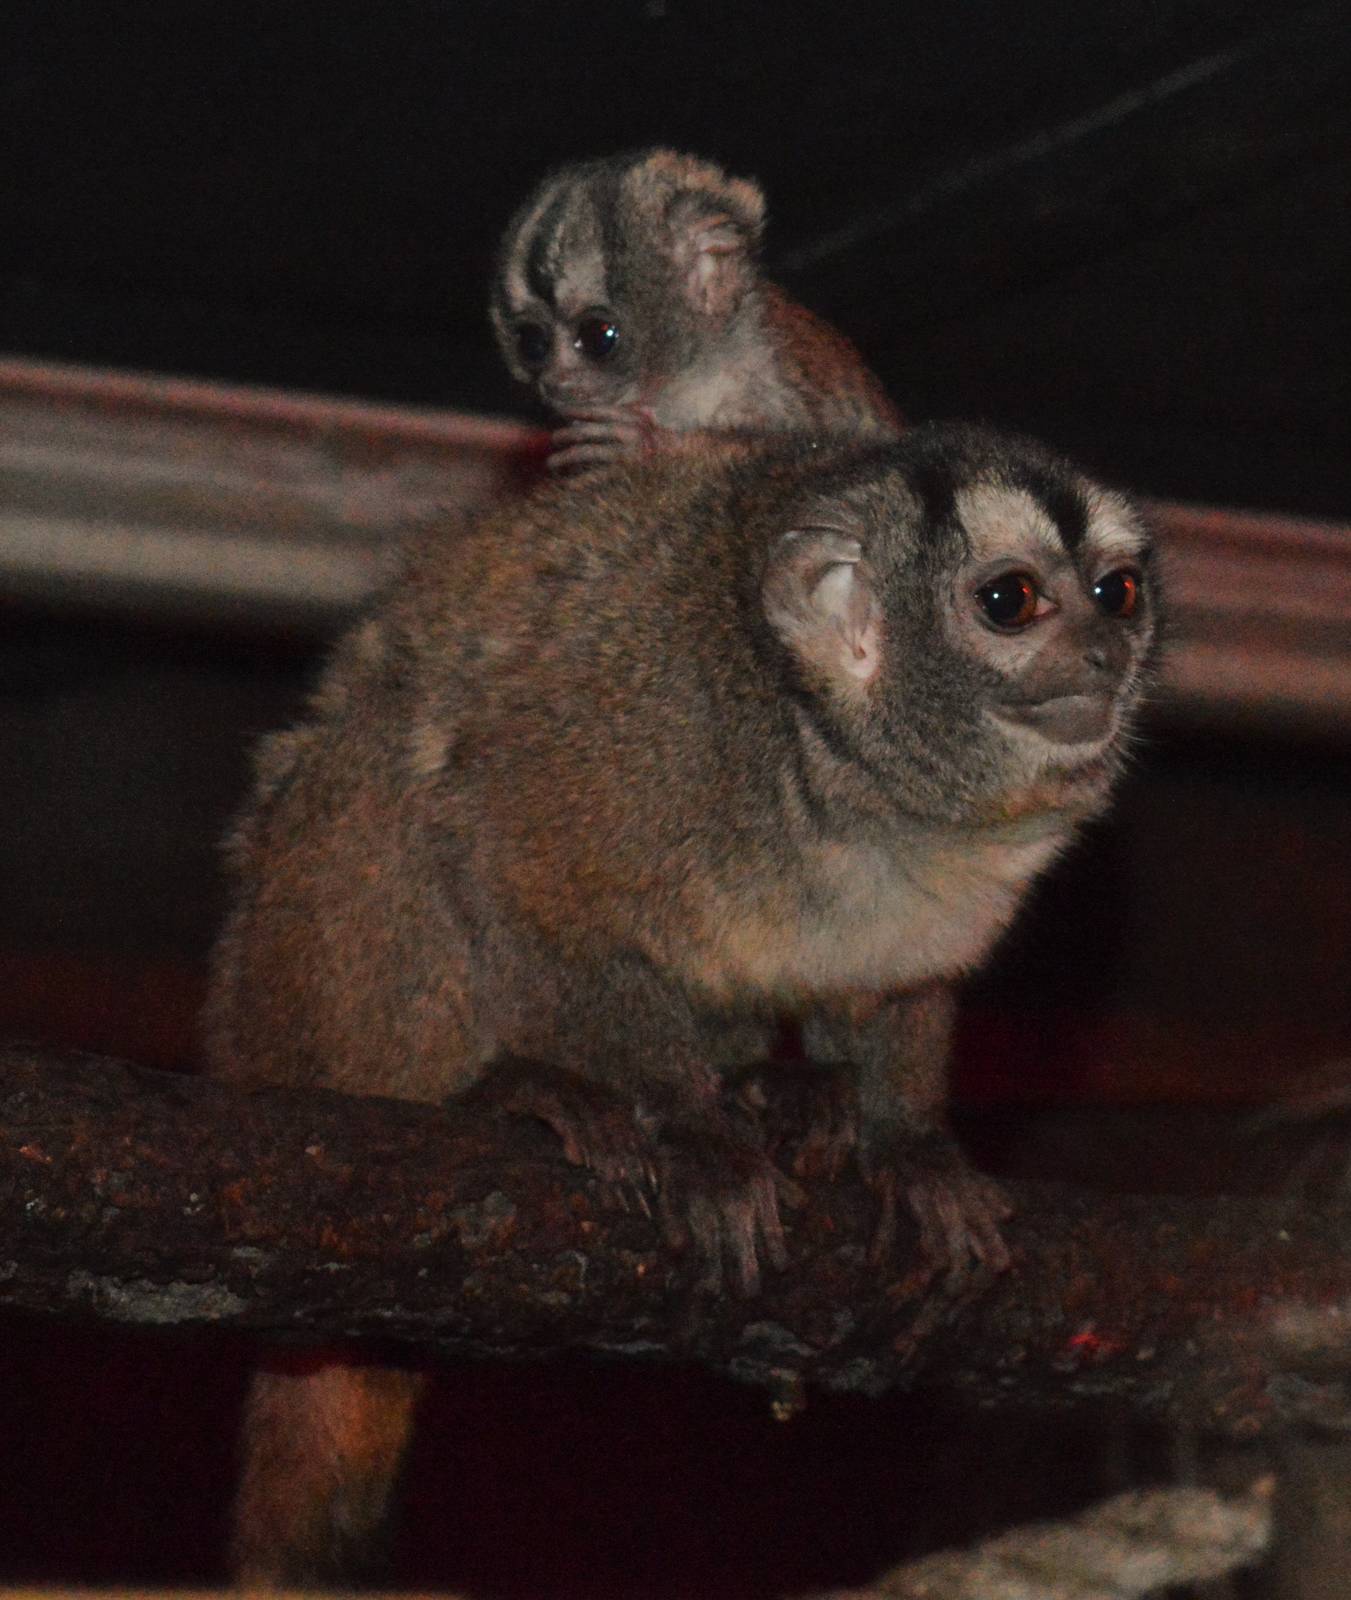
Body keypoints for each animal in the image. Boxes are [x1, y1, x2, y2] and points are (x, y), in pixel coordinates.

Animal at [204, 423, 1159, 1585]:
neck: (833, 762)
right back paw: (509, 1095)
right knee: (398, 762)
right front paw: (692, 1128)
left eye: (1115, 593)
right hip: (288, 1001)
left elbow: (898, 983)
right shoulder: (653, 726)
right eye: (1010, 602)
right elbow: (508, 840)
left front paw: (906, 1146)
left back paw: (782, 1096)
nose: (1105, 655)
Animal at [490, 148, 904, 472]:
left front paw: (648, 444)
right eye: (532, 344)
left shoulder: (772, 385)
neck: (690, 377)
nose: (555, 380)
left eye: (598, 337)